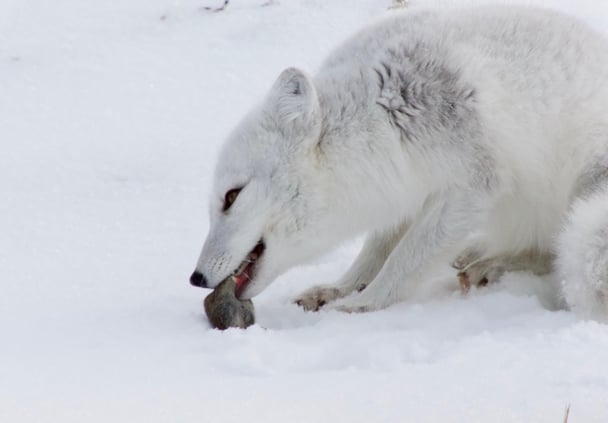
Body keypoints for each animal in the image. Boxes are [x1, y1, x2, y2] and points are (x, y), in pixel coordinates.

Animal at [192, 4, 608, 320]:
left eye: (231, 196)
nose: (196, 278)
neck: (377, 114)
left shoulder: (472, 184)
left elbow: (405, 260)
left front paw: (361, 304)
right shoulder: (402, 194)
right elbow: (375, 253)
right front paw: (339, 289)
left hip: (584, 184)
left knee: (552, 255)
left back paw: (492, 266)